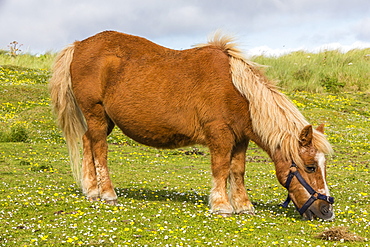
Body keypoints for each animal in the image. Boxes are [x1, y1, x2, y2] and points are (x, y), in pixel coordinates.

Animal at [49, 30, 336, 220]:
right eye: (310, 167)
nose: (327, 211)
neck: (236, 89)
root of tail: (79, 44)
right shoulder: (219, 134)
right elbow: (221, 169)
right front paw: (222, 206)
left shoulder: (240, 139)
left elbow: (238, 170)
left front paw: (243, 205)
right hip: (96, 114)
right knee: (100, 150)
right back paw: (107, 193)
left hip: (103, 119)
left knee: (88, 143)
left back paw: (91, 190)